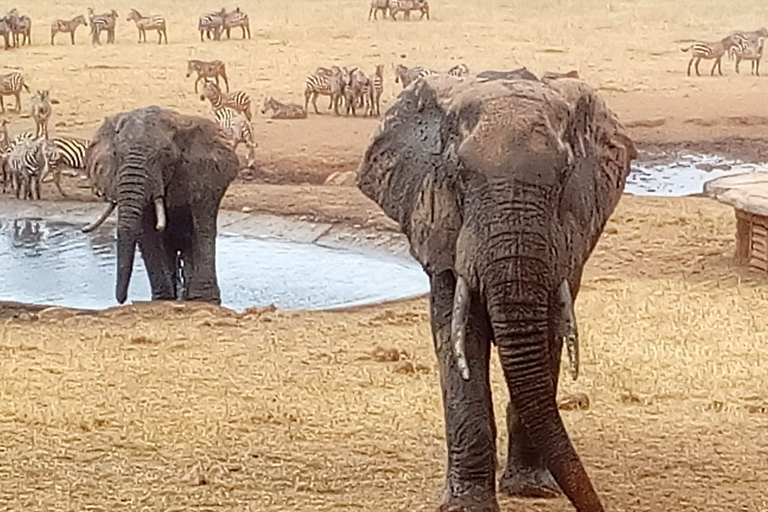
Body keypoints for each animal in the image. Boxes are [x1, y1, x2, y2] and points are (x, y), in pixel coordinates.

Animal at [82, 104, 238, 304]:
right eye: (116, 155)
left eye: (164, 155)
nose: (121, 299)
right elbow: (146, 233)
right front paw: (163, 299)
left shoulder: (204, 176)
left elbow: (201, 228)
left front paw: (204, 301)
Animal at [356, 74, 640, 510]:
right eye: (459, 173)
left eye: (564, 175)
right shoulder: (441, 229)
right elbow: (460, 345)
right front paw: (467, 506)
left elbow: (547, 337)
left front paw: (531, 490)